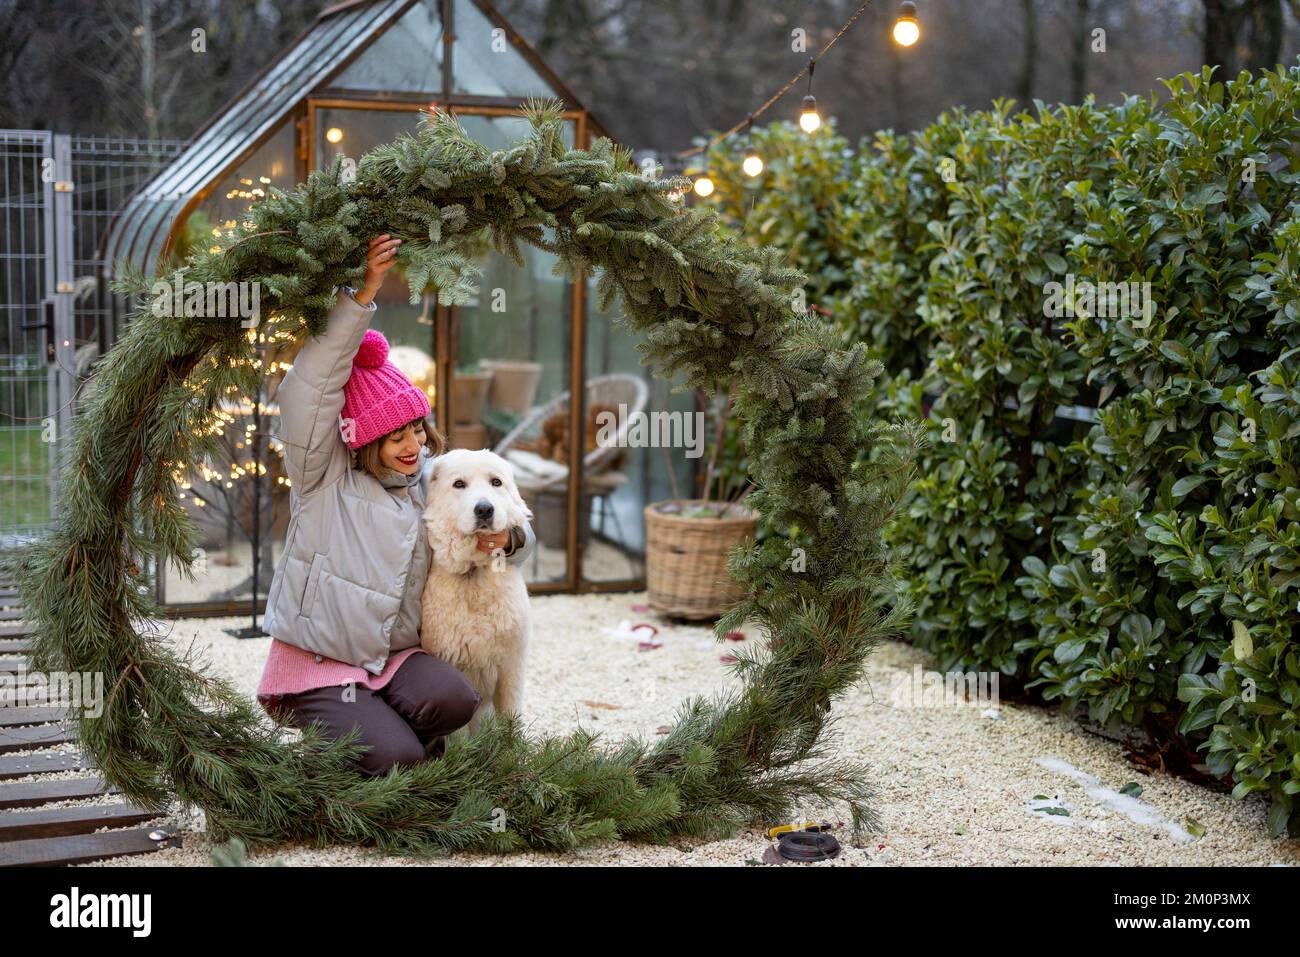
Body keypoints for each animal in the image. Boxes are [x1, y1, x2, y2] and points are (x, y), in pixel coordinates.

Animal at [421, 447, 533, 733]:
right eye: (459, 484)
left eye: (496, 482)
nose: (484, 509)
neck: (474, 571)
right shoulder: (458, 671)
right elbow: (460, 737)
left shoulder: (511, 668)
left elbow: (511, 721)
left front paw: (513, 746)